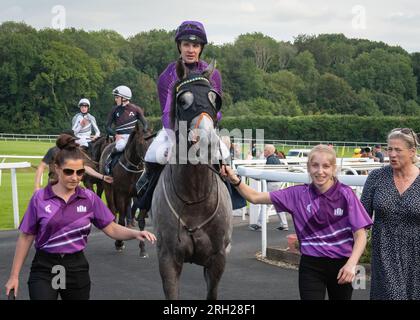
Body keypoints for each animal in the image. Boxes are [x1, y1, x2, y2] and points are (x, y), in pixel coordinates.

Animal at [99, 122, 153, 255]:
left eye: (153, 141)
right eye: (141, 142)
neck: (133, 169)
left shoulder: (140, 195)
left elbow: (141, 221)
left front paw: (143, 249)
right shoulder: (120, 194)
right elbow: (121, 220)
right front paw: (119, 243)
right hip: (108, 189)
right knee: (114, 210)